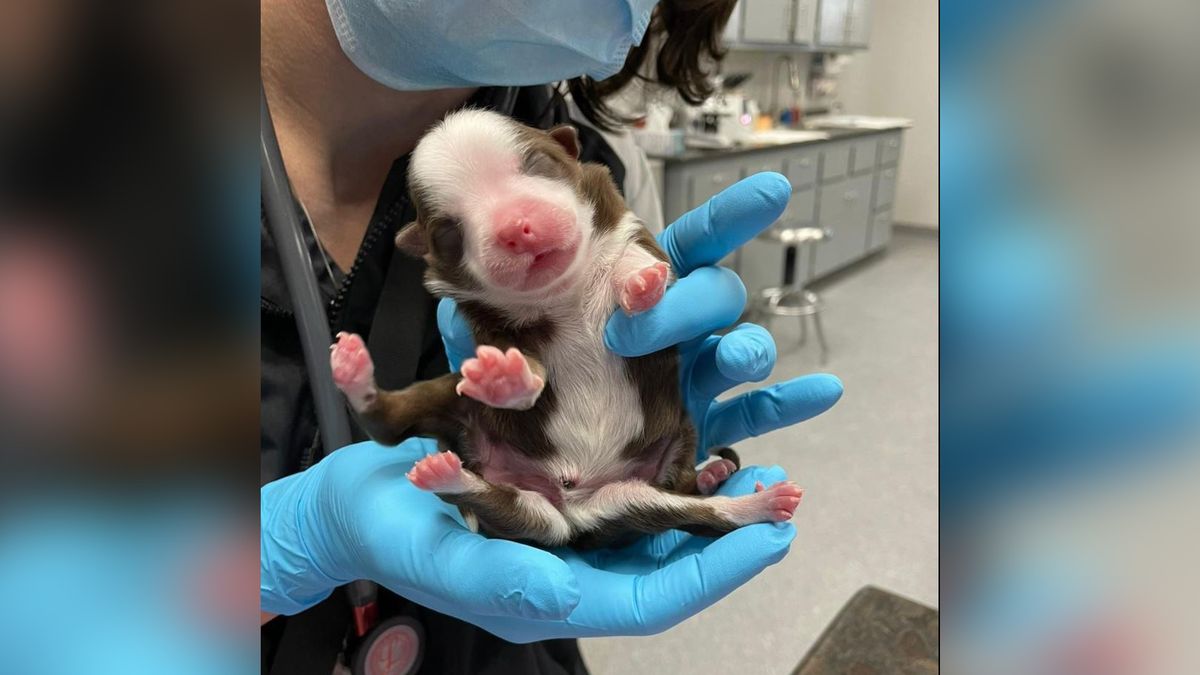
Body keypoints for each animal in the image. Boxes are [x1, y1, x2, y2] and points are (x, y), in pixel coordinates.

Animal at [328, 109, 801, 547]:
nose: (515, 227)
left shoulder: (629, 228)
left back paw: (746, 494)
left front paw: (639, 284)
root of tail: (572, 505)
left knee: (705, 514)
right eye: (448, 232)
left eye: (539, 163)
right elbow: (527, 365)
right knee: (391, 425)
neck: (563, 292)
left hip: (636, 497)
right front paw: (504, 377)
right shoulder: (489, 324)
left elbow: (637, 258)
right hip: (464, 415)